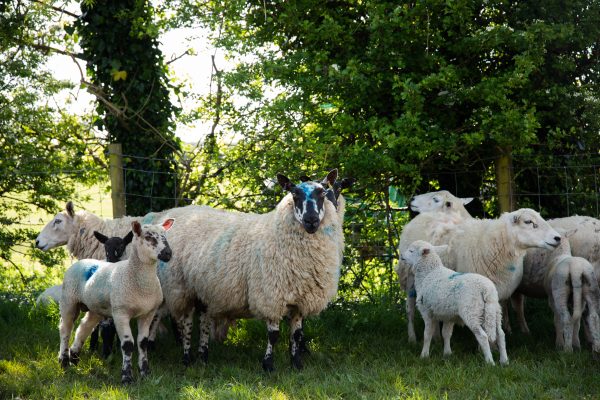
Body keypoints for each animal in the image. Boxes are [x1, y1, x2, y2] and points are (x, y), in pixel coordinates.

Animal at [58, 219, 173, 384]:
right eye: (148, 237)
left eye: (165, 235)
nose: (168, 253)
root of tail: (81, 261)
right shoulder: (120, 313)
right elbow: (128, 345)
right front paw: (127, 377)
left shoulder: (148, 314)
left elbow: (142, 343)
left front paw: (145, 373)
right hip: (68, 300)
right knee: (65, 329)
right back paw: (64, 361)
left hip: (95, 308)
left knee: (84, 327)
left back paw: (74, 357)